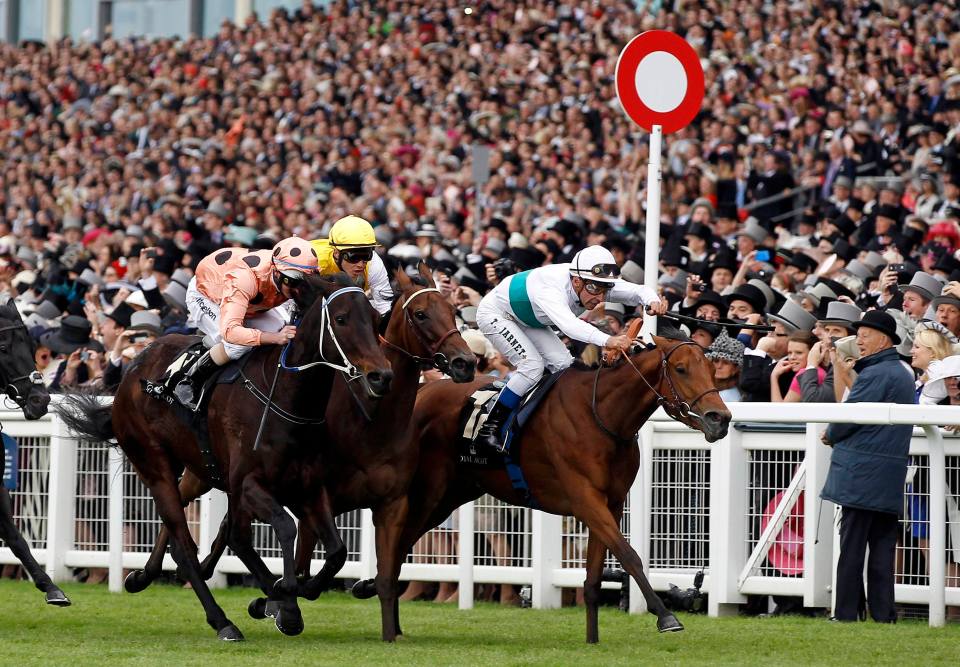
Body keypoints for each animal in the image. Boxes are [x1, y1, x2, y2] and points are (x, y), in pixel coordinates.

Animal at [58, 274, 390, 640]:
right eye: (342, 319)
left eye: (377, 320)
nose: (381, 376)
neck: (286, 397)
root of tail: (130, 373)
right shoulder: (247, 483)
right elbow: (281, 528)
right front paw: (284, 602)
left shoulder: (307, 486)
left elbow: (336, 551)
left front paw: (293, 594)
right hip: (154, 465)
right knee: (187, 544)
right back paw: (222, 620)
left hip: (199, 470)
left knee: (196, 531)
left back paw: (145, 575)